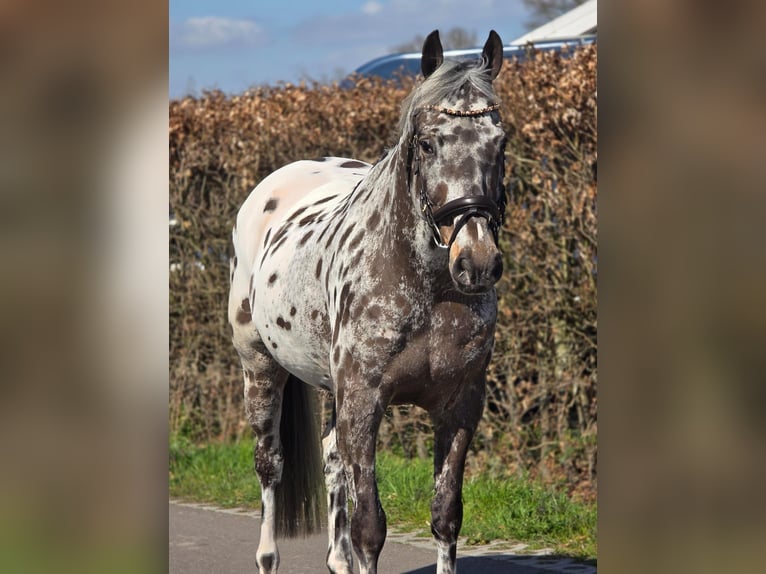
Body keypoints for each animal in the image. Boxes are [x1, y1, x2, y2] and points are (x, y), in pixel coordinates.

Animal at [227, 29, 507, 574]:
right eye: (427, 142)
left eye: (500, 143)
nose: (477, 261)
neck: (428, 290)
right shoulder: (364, 403)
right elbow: (369, 528)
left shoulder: (460, 406)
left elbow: (446, 516)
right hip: (260, 367)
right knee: (270, 466)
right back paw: (268, 554)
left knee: (333, 463)